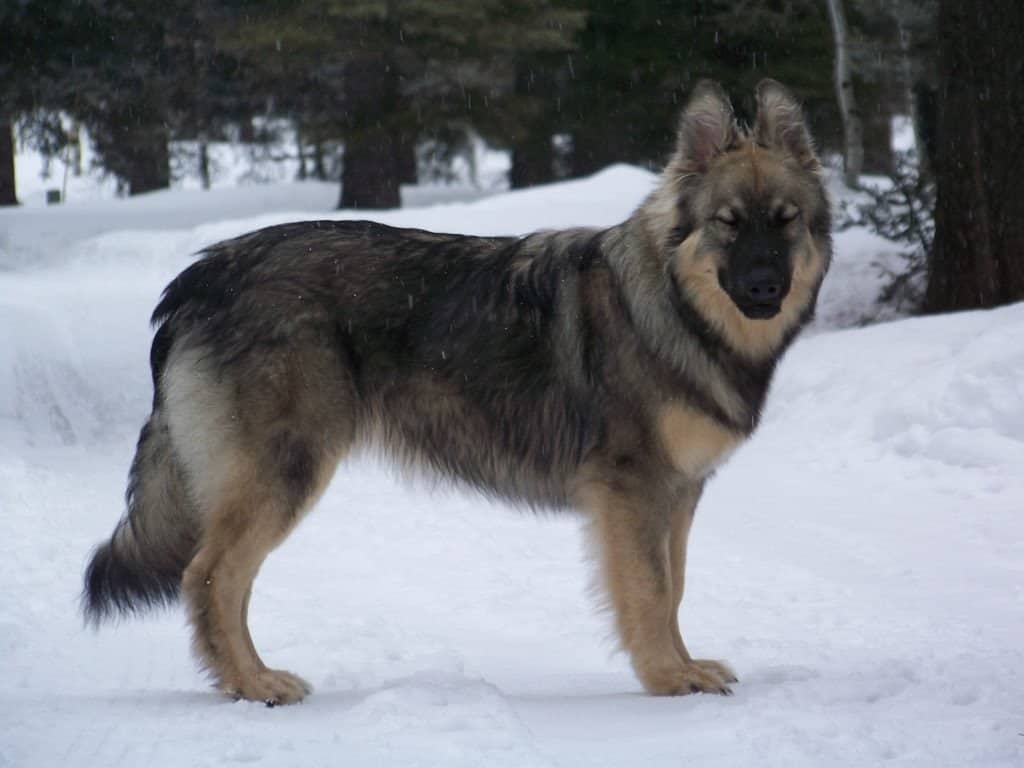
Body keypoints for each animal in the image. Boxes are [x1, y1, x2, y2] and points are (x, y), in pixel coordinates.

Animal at [81, 81, 831, 708]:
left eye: (785, 220)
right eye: (729, 222)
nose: (766, 287)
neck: (674, 309)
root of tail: (199, 278)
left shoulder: (677, 494)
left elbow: (674, 590)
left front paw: (683, 666)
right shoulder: (635, 491)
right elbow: (650, 593)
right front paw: (667, 679)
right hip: (285, 471)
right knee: (209, 578)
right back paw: (252, 684)